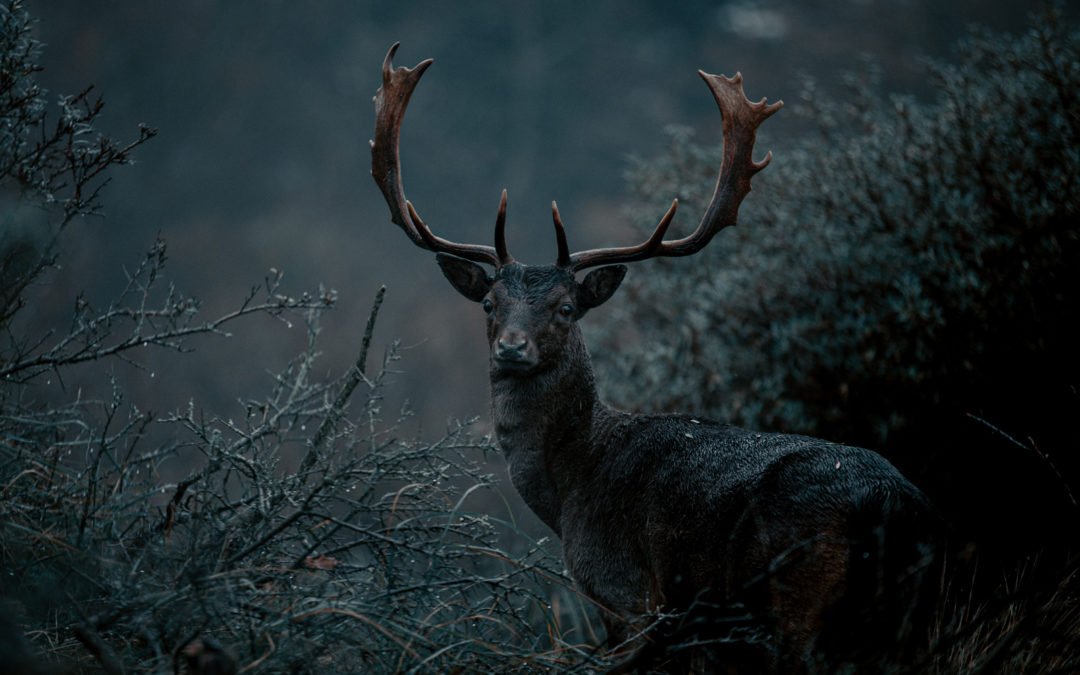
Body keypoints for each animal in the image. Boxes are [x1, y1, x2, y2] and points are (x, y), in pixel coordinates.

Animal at [369, 44, 937, 669]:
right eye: (490, 304)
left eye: (566, 308)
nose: (512, 346)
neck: (570, 490)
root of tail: (890, 506)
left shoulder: (629, 595)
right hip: (911, 617)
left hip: (797, 599)